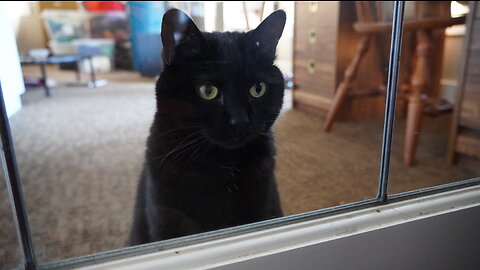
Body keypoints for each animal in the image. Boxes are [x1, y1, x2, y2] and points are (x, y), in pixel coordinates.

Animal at [128, 8, 284, 245]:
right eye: (207, 90)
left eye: (258, 88)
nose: (240, 120)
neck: (221, 165)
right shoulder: (168, 218)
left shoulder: (263, 207)